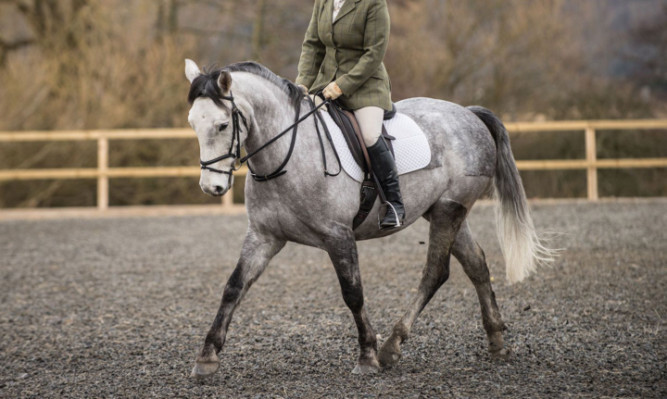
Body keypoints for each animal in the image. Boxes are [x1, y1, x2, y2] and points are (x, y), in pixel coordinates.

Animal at [185, 60, 556, 378]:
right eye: (192, 123)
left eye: (222, 125)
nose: (211, 187)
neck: (286, 157)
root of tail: (468, 113)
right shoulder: (263, 236)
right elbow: (233, 287)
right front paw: (207, 357)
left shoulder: (338, 236)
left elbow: (353, 293)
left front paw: (367, 355)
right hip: (448, 209)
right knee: (476, 264)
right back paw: (496, 341)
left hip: (449, 210)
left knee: (435, 271)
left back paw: (392, 346)